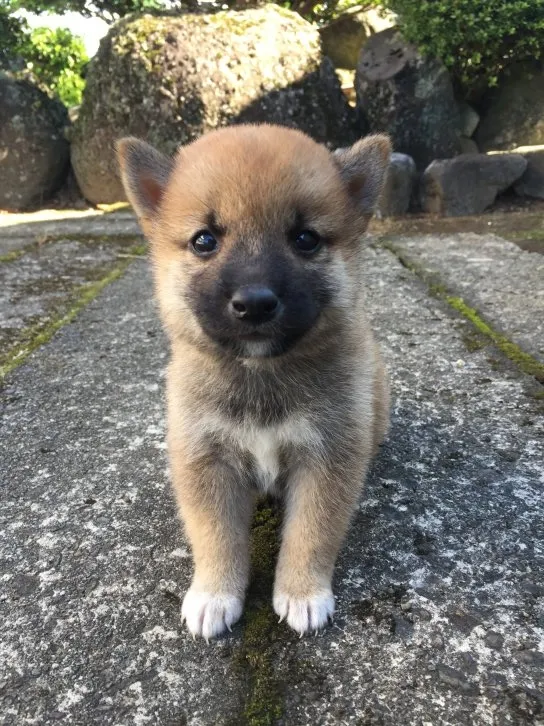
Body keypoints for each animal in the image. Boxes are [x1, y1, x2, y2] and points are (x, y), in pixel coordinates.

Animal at [118, 125, 392, 644]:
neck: (261, 373)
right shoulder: (207, 462)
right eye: (204, 240)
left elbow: (311, 534)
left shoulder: (326, 460)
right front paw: (214, 594)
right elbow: (216, 538)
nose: (255, 302)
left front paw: (302, 592)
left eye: (305, 238)